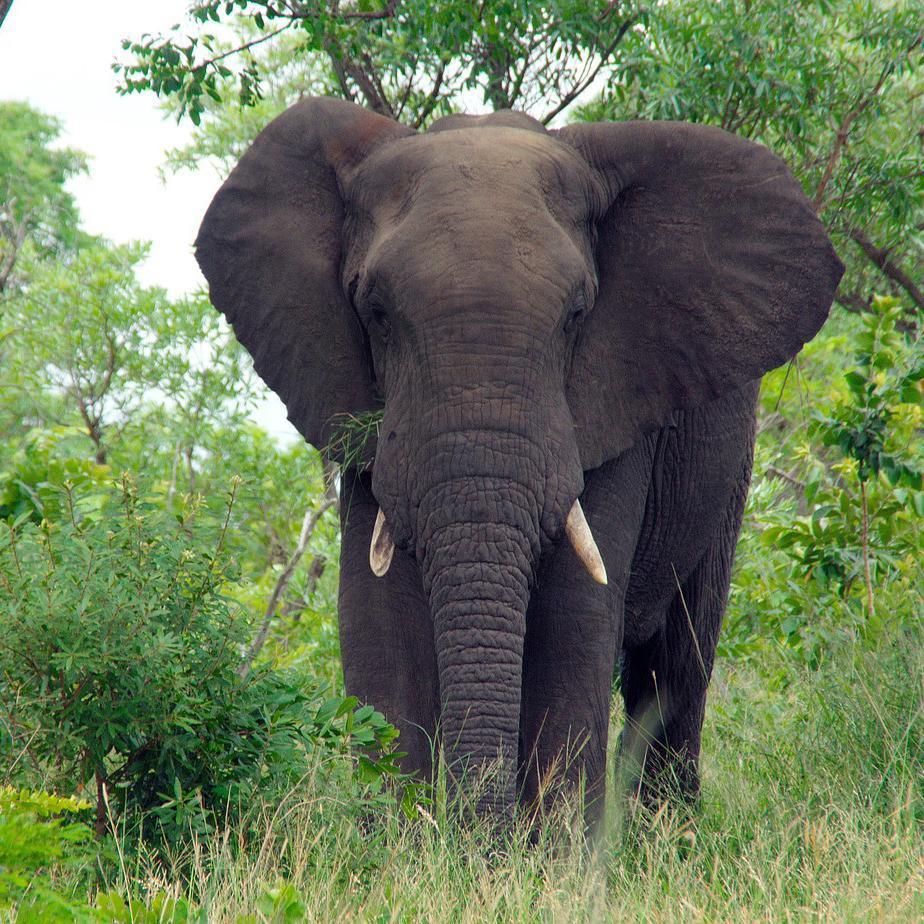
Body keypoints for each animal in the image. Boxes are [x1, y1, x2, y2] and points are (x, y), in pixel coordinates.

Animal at [195, 97, 844, 828]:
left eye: (578, 313)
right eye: (375, 312)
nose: (476, 838)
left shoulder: (613, 393)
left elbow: (573, 620)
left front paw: (555, 857)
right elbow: (379, 625)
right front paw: (403, 849)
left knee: (678, 661)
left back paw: (665, 839)